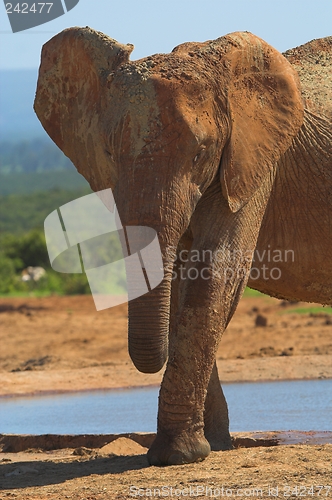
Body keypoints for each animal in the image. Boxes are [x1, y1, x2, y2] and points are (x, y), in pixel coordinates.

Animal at [34, 27, 332, 464]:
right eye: (109, 153)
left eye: (201, 153)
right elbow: (178, 284)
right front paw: (209, 446)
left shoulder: (253, 161)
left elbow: (215, 272)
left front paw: (179, 454)